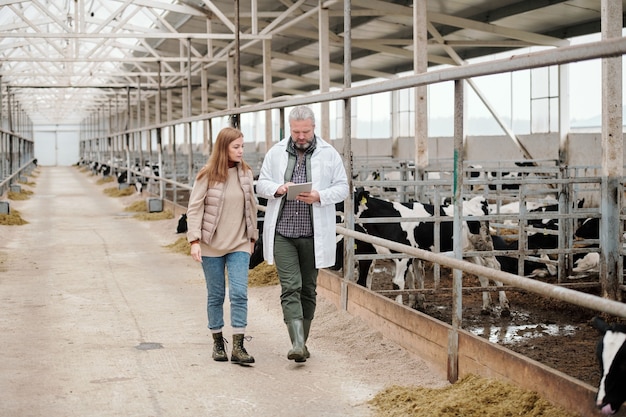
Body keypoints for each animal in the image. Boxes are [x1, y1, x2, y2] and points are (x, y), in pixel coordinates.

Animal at [354, 187, 504, 314]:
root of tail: (477, 202)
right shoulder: (391, 257)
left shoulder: (404, 257)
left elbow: (398, 283)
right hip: (469, 251)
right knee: (482, 274)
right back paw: (486, 306)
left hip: (485, 247)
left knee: (495, 268)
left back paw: (504, 306)